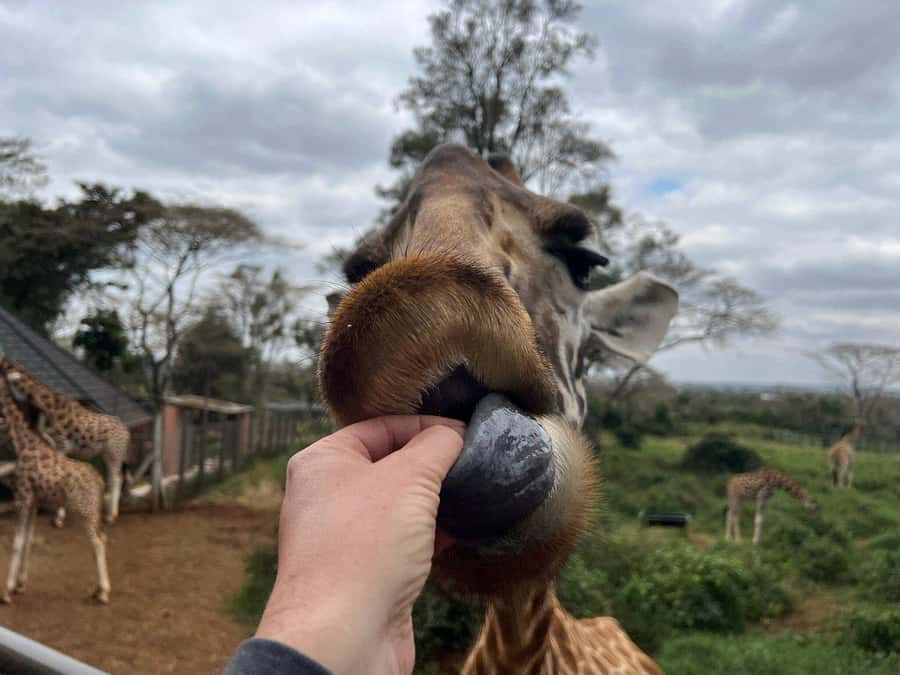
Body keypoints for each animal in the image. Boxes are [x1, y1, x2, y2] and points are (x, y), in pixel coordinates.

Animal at [0, 358, 130, 524]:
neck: (51, 407)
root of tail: (126, 432)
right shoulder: (57, 446)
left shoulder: (62, 445)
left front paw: (58, 519)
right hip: (108, 454)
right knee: (116, 477)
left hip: (114, 452)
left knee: (116, 477)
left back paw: (110, 516)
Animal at [0, 372, 110, 604]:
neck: (23, 442)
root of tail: (100, 481)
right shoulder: (34, 501)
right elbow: (28, 540)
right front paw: (19, 585)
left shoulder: (22, 497)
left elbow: (17, 541)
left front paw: (7, 592)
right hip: (93, 511)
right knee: (102, 537)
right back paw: (97, 589)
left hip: (84, 510)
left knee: (97, 542)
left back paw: (104, 593)